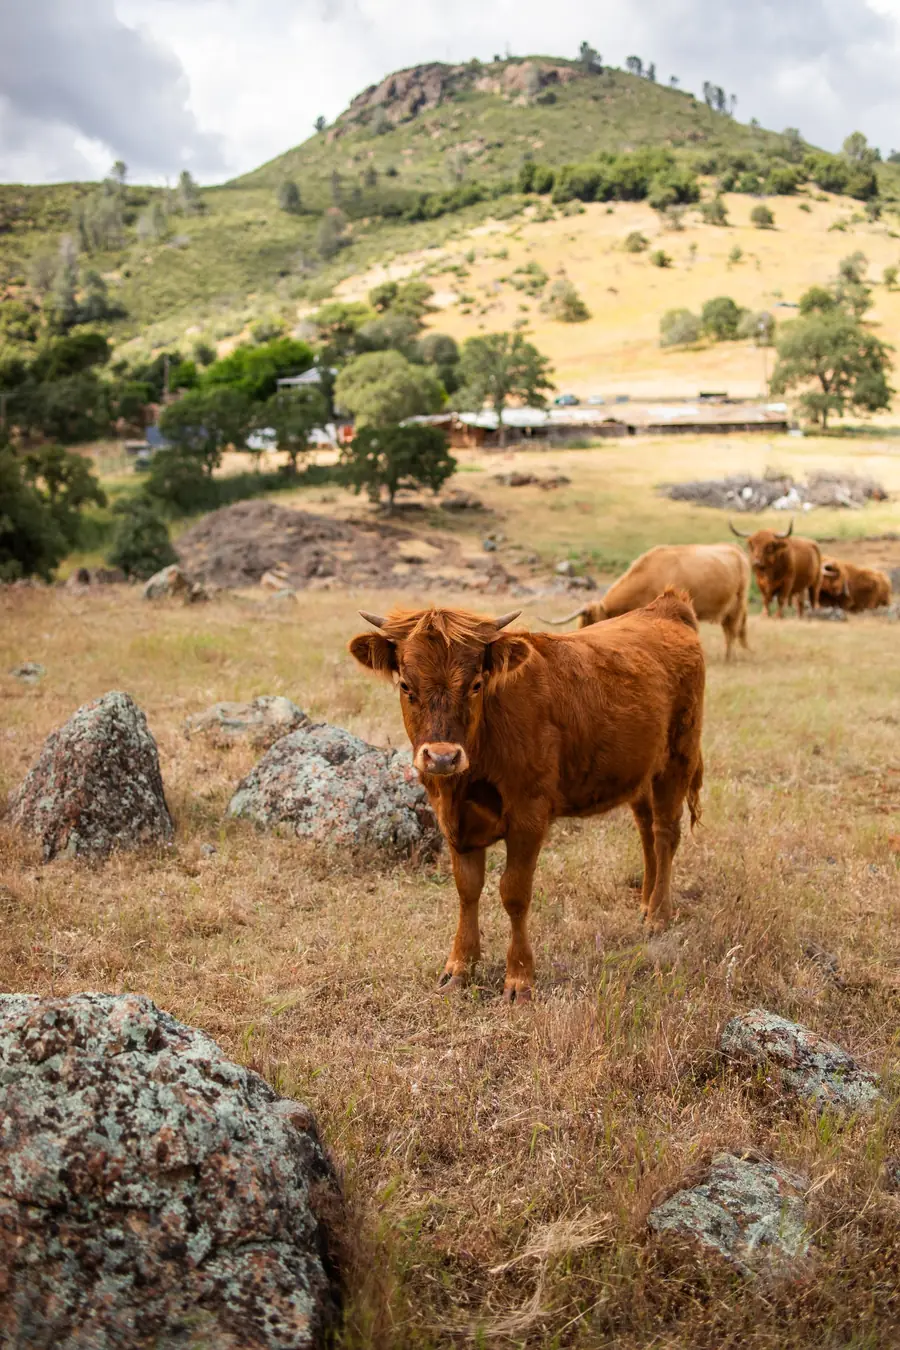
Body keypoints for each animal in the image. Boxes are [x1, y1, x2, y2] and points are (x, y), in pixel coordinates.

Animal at [349, 593, 705, 1001]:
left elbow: (514, 892)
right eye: (407, 686)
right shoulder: (453, 819)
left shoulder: (528, 816)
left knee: (665, 834)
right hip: (640, 770)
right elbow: (467, 889)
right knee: (646, 829)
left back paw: (658, 915)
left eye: (476, 684)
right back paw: (645, 904)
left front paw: (519, 978)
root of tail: (666, 606)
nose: (441, 757)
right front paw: (459, 967)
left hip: (677, 758)